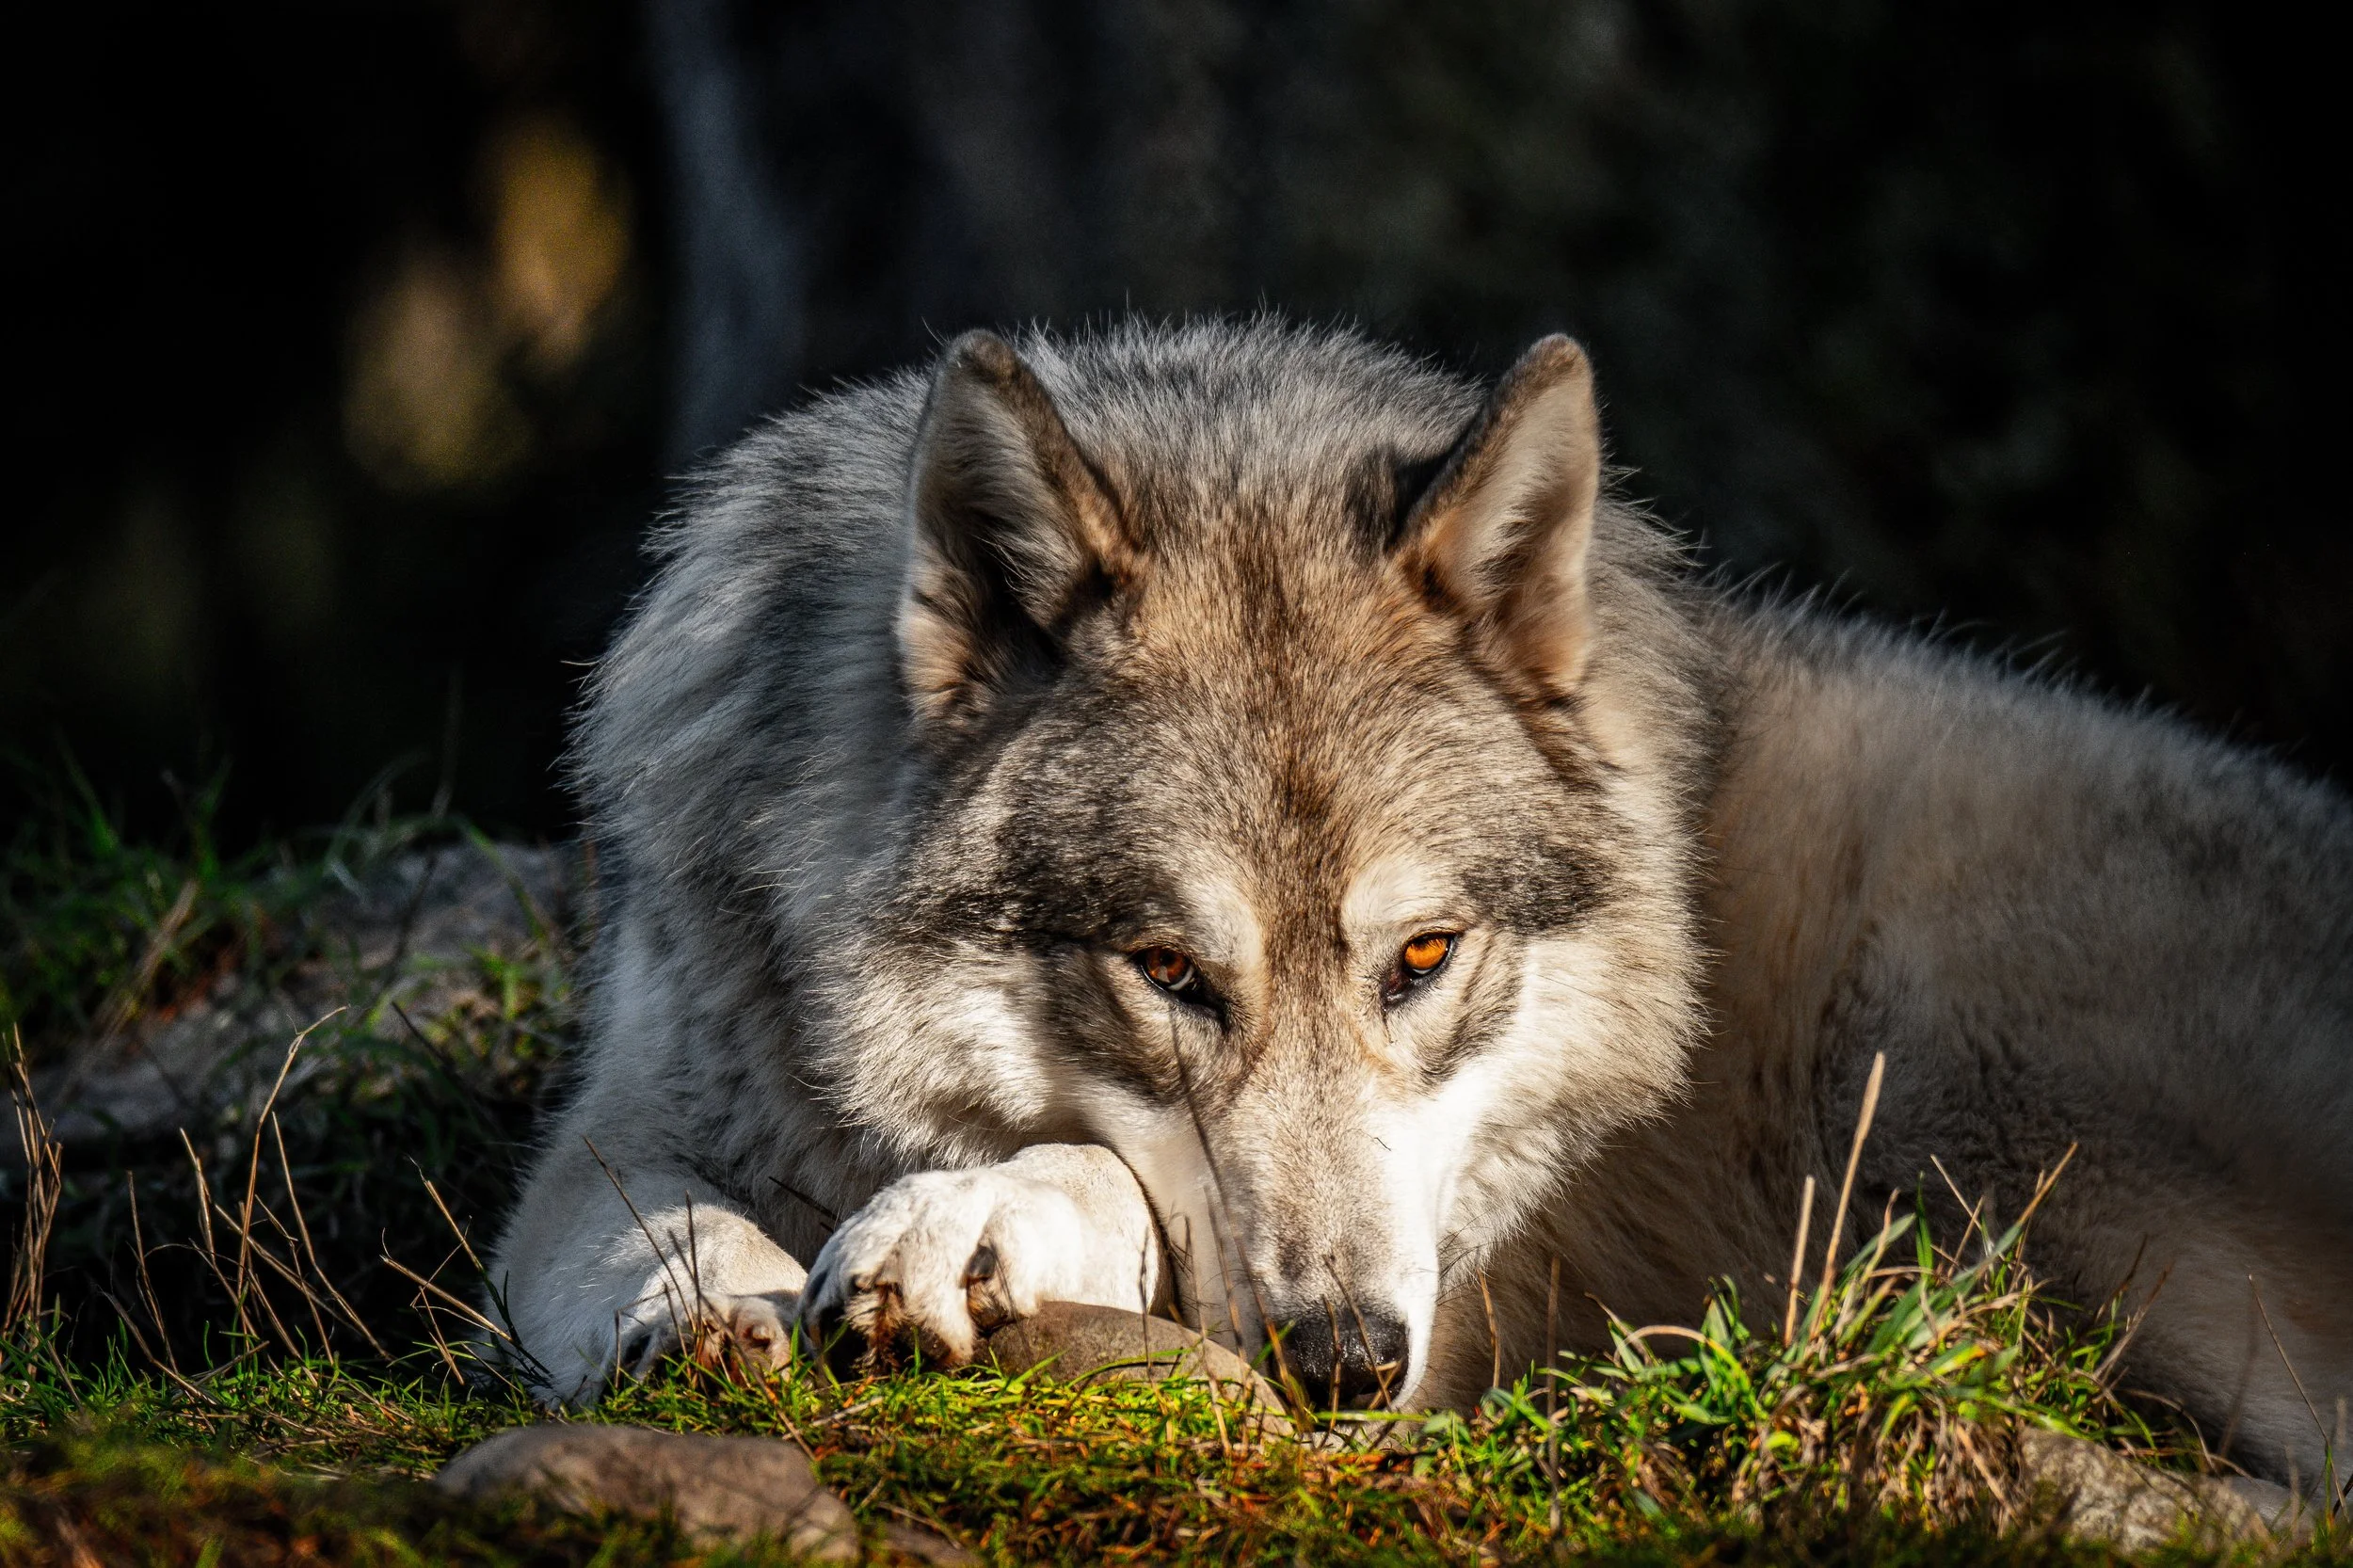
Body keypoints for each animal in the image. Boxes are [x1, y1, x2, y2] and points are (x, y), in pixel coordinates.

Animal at [489, 319, 2352, 1486]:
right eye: (1169, 969)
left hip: (1963, 1077)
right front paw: (710, 1303)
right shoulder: (622, 1124)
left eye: (1425, 957)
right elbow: (654, 1226)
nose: (1342, 1364)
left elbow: (1107, 1178)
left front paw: (972, 1220)